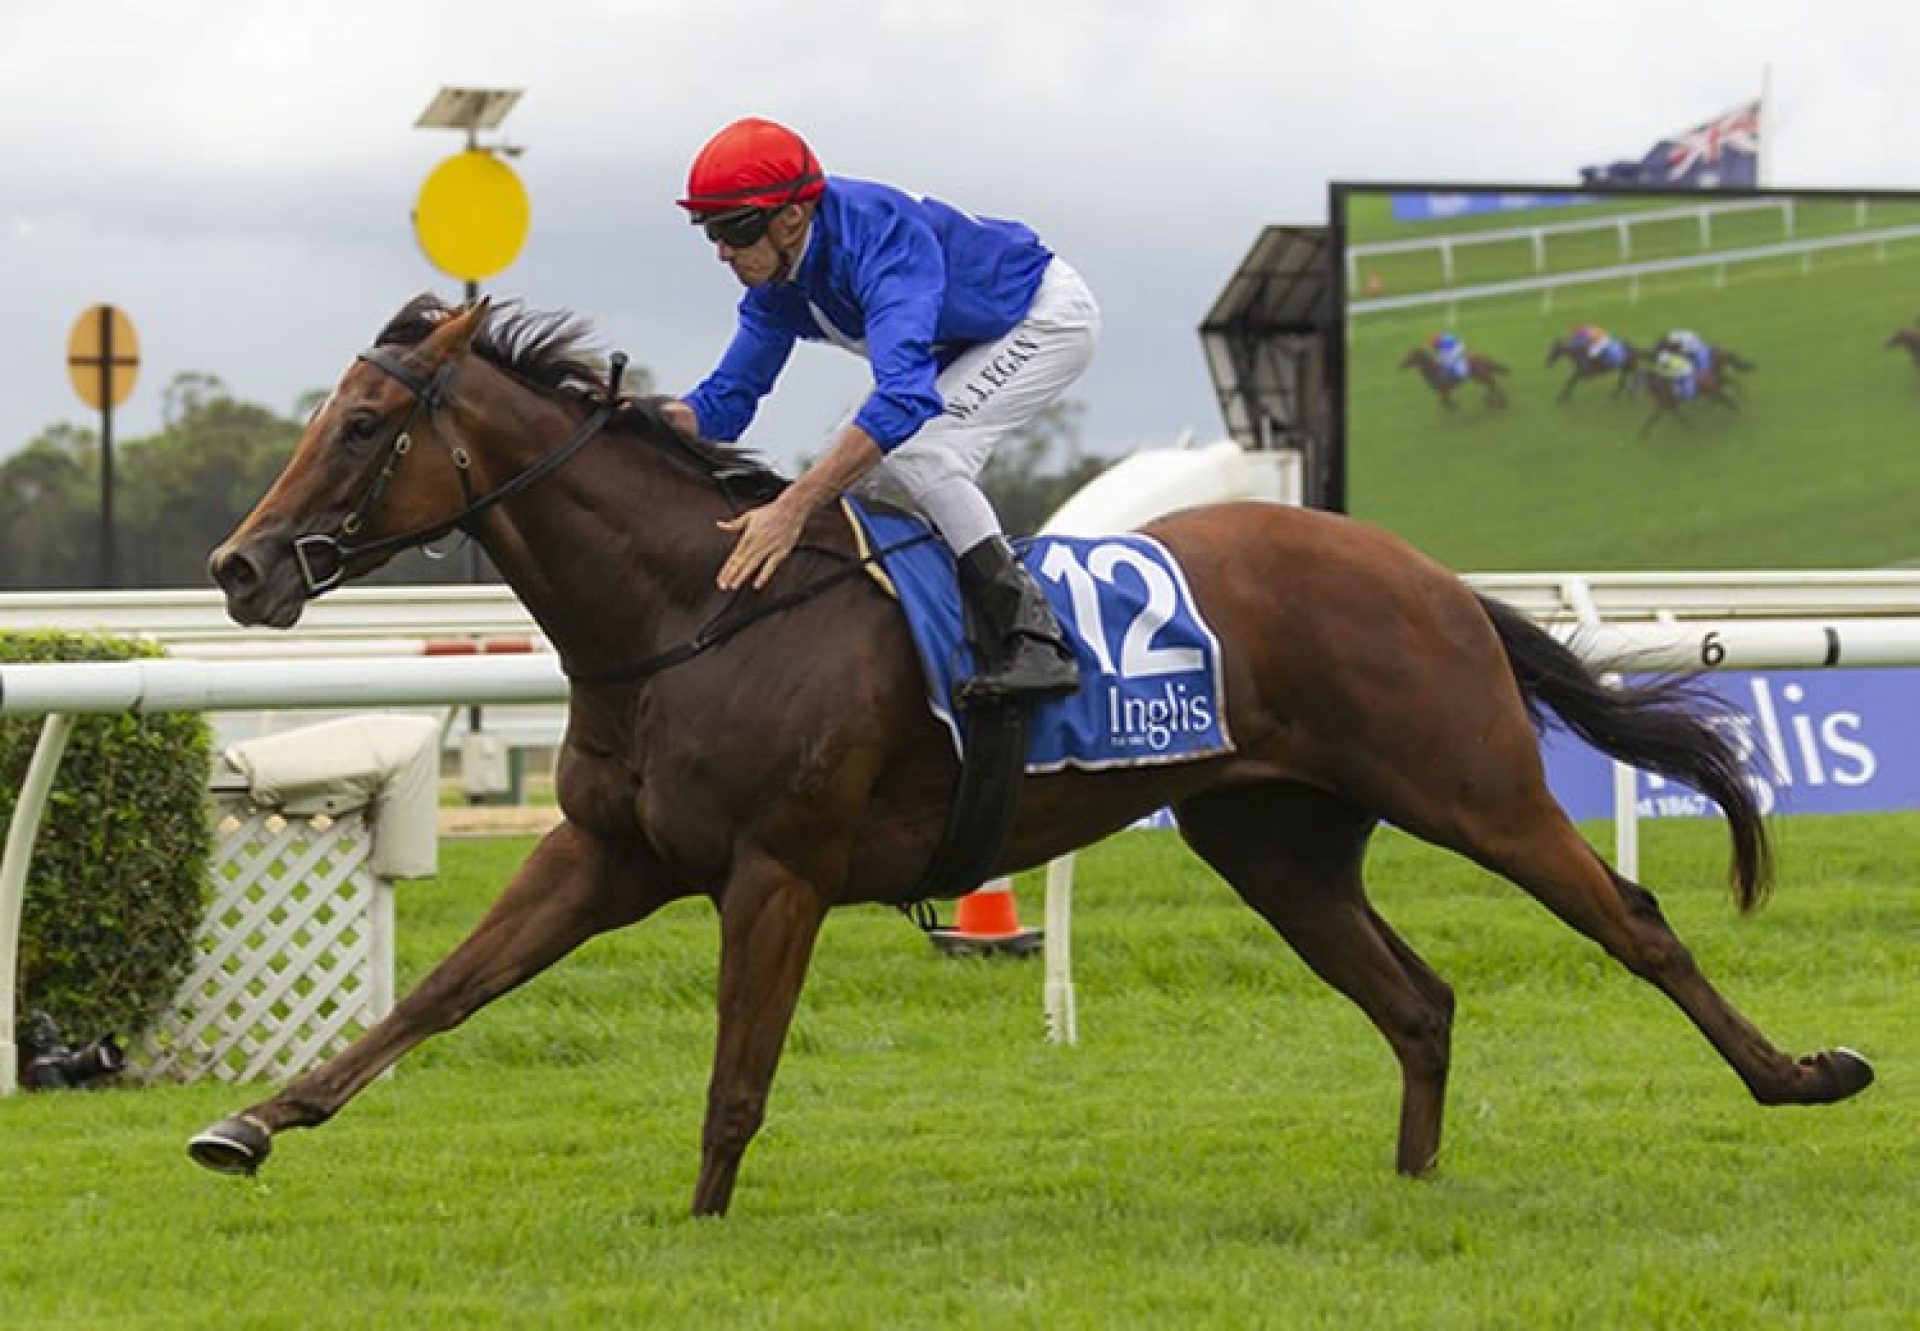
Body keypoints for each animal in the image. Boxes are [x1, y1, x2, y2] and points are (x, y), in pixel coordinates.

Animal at [187, 297, 1866, 1213]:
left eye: (362, 428)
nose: (238, 567)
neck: (694, 609)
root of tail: (1427, 571)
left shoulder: (777, 866)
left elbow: (737, 1076)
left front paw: (703, 1225)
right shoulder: (610, 850)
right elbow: (439, 991)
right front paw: (248, 1122)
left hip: (1469, 782)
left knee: (1631, 920)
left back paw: (1801, 1073)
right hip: (1277, 840)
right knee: (1420, 997)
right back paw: (1413, 1189)